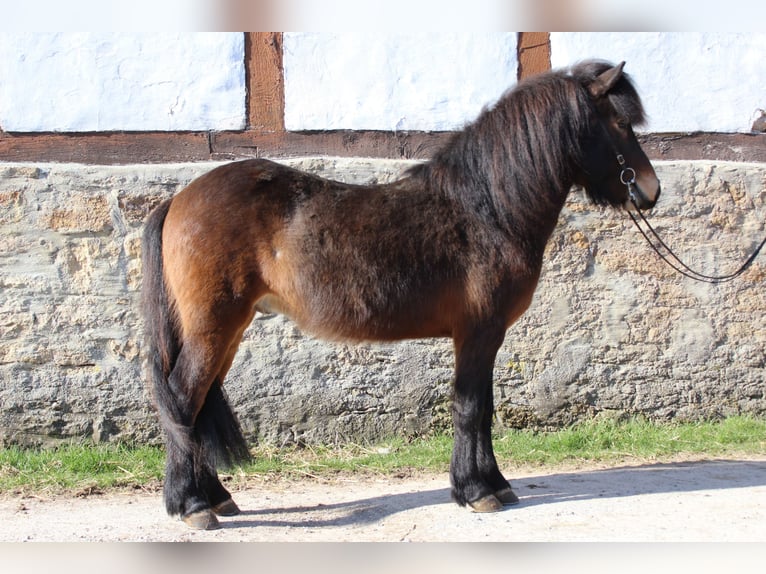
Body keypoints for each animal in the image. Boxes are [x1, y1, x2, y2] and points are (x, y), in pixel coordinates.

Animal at [141, 60, 661, 529]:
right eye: (620, 123)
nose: (651, 190)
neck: (485, 210)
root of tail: (179, 199)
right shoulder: (478, 332)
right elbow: (470, 407)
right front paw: (477, 492)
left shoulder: (484, 336)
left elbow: (482, 408)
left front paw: (493, 484)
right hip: (213, 328)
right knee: (182, 400)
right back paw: (192, 505)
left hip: (227, 330)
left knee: (197, 405)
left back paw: (216, 497)